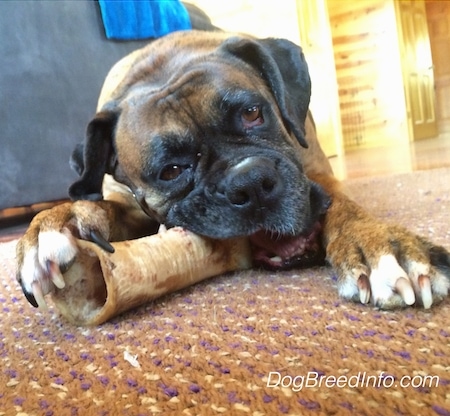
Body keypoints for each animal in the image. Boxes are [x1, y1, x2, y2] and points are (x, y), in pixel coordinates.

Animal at [15, 30, 448, 312]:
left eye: (253, 113)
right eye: (171, 170)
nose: (251, 183)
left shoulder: (316, 175)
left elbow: (344, 207)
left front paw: (378, 246)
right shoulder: (127, 203)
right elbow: (98, 208)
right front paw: (59, 222)